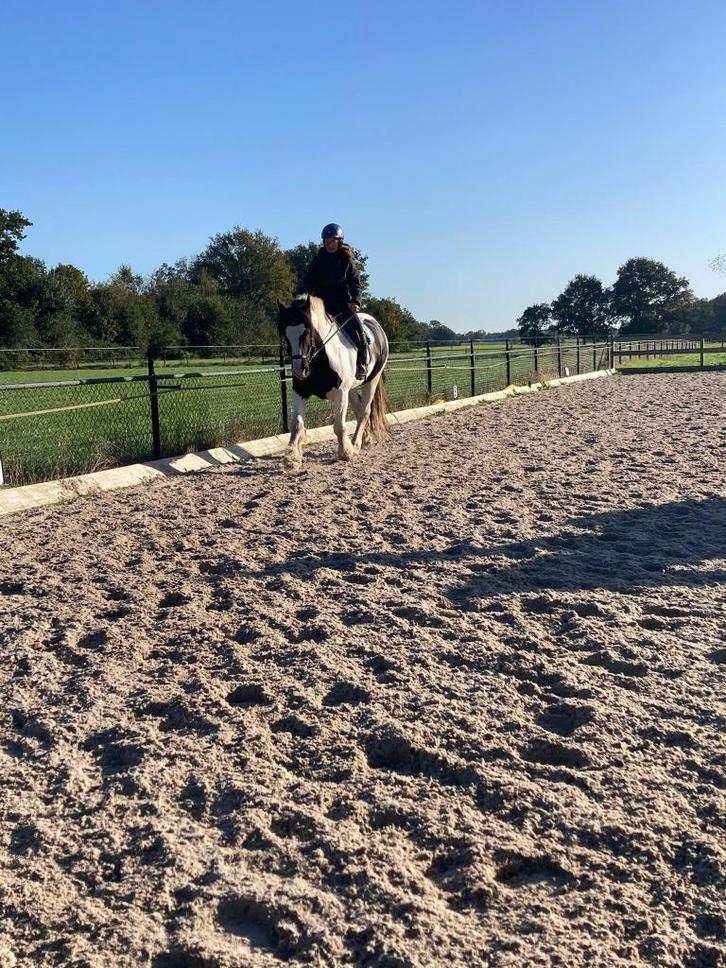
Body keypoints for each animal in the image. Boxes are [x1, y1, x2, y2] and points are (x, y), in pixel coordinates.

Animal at [277, 295, 389, 462]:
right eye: (286, 335)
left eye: (307, 331)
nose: (299, 370)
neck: (320, 359)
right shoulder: (300, 391)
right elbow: (296, 424)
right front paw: (292, 457)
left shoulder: (341, 393)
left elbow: (339, 426)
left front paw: (346, 452)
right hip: (352, 388)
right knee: (359, 409)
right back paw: (365, 439)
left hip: (371, 380)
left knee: (364, 412)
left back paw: (355, 444)